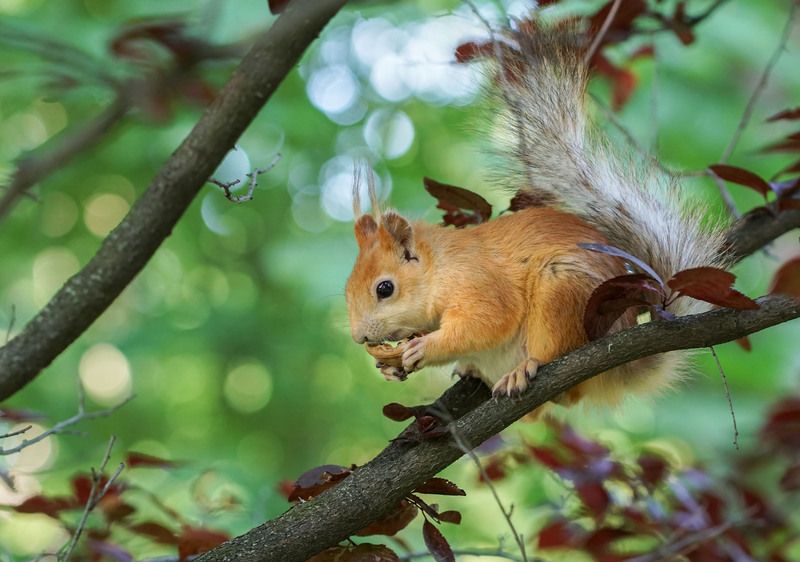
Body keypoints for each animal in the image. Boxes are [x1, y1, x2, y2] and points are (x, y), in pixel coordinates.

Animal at [344, 21, 726, 408]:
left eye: (385, 288)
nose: (359, 337)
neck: (440, 267)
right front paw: (391, 367)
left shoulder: (478, 282)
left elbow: (487, 321)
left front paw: (425, 347)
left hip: (562, 291)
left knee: (555, 364)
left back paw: (523, 369)